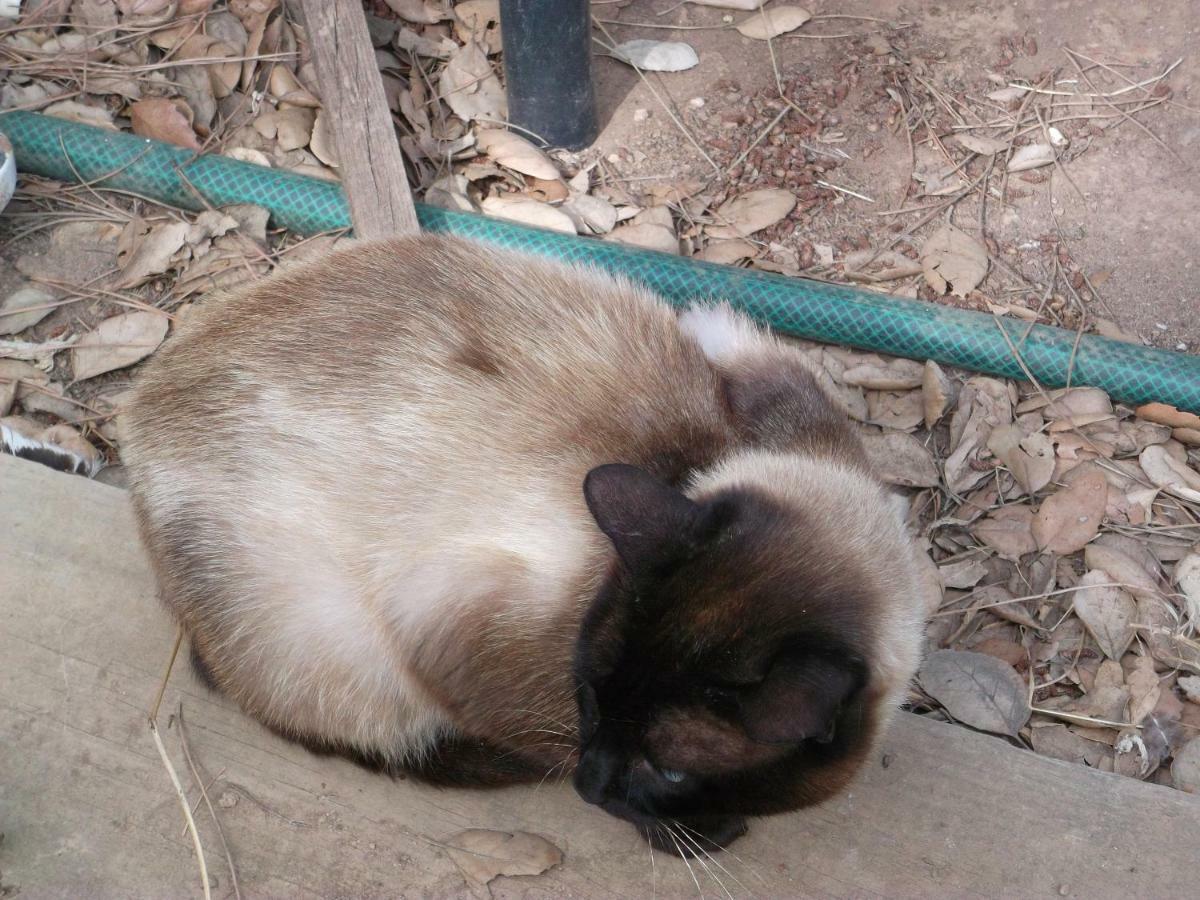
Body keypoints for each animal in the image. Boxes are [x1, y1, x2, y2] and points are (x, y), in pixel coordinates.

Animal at [121, 236, 926, 854]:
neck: (692, 466)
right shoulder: (445, 617)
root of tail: (134, 416)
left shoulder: (749, 357)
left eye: (668, 770)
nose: (590, 788)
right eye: (588, 699)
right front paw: (690, 833)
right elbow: (534, 737)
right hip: (325, 636)